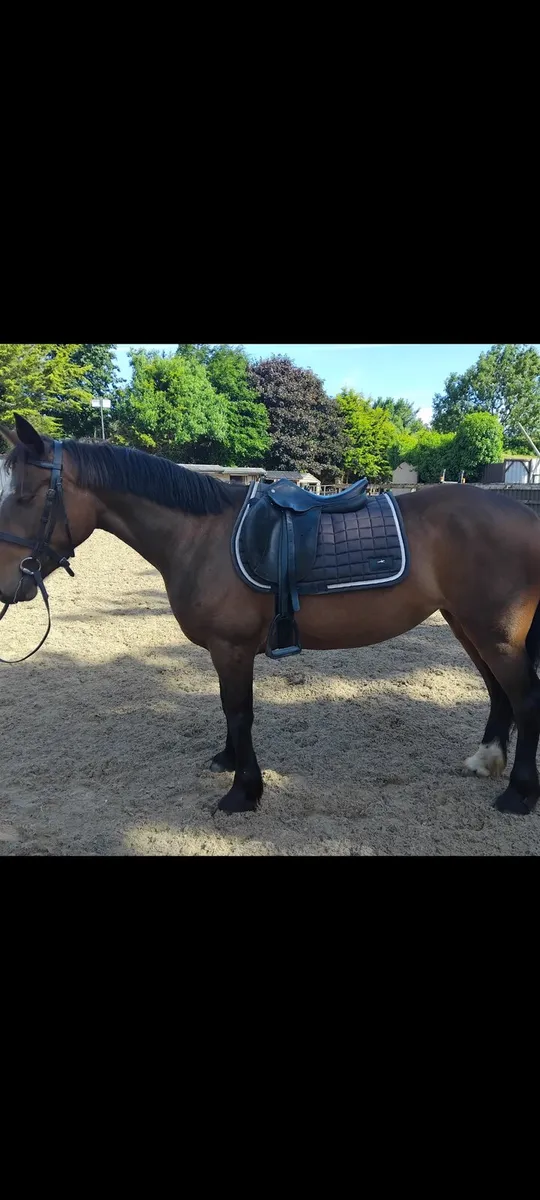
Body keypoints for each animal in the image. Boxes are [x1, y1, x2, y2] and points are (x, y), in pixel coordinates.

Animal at [2, 413, 540, 818]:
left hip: (494, 632)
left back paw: (518, 794)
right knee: (499, 692)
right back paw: (487, 760)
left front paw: (244, 791)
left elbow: (239, 712)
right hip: (466, 624)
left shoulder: (233, 648)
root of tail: (525, 515)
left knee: (525, 698)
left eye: (26, 495)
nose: (10, 584)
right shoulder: (226, 652)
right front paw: (227, 761)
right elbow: (229, 711)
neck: (201, 536)